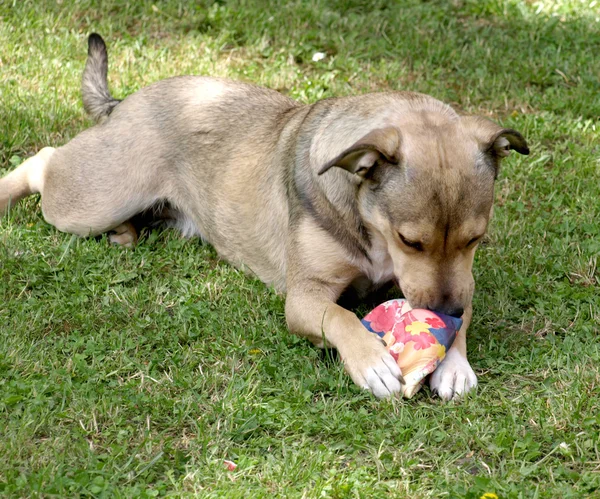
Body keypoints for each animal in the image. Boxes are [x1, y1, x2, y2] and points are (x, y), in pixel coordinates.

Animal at [0, 34, 528, 402]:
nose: (445, 312)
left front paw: (454, 364)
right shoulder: (305, 298)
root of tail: (126, 101)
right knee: (43, 161)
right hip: (92, 200)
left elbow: (464, 310)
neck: (365, 216)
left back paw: (126, 234)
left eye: (476, 239)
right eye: (410, 241)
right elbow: (341, 317)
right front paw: (371, 361)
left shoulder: (461, 281)